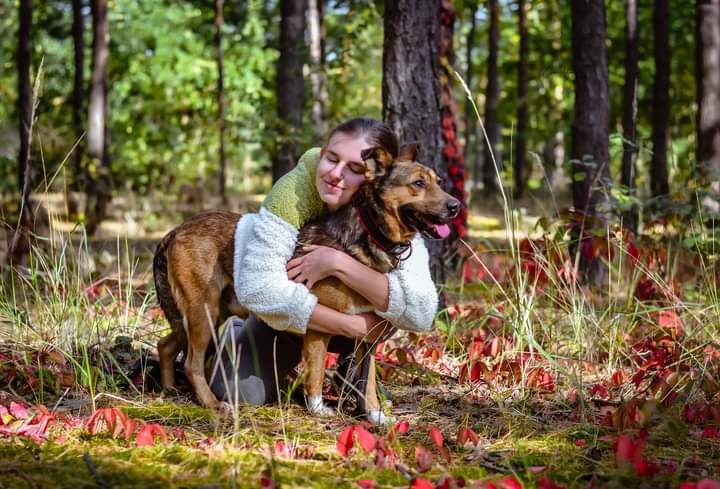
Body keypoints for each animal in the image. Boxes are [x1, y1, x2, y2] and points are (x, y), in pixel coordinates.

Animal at [152, 143, 462, 418]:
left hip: (206, 314)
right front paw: (318, 409)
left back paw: (169, 390)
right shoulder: (317, 328)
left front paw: (375, 415)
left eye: (438, 182)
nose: (456, 206)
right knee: (191, 363)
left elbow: (369, 384)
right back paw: (212, 403)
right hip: (203, 312)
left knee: (166, 346)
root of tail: (175, 231)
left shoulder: (368, 340)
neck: (369, 234)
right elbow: (315, 373)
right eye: (418, 183)